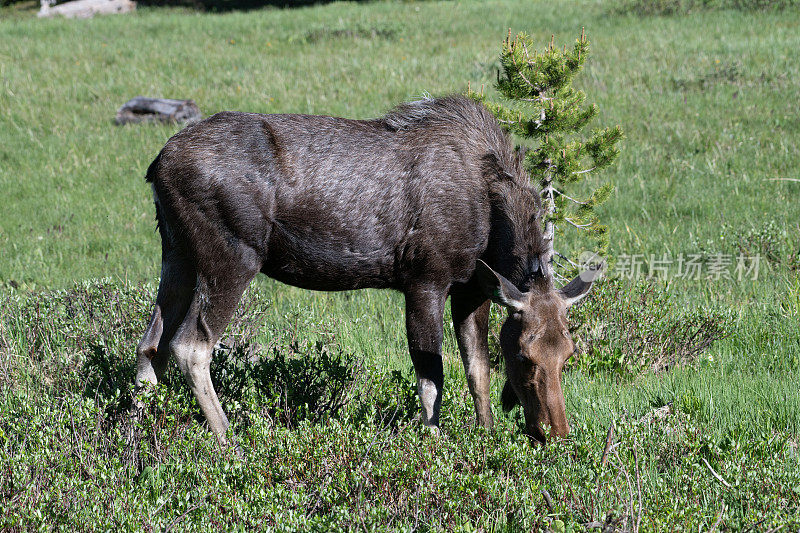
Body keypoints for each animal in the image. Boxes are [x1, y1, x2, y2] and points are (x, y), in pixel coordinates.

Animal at [136, 95, 600, 444]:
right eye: (524, 355)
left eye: (569, 354)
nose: (556, 434)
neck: (493, 225)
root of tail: (157, 164)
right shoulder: (425, 280)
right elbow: (432, 381)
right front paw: (435, 446)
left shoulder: (472, 289)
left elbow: (478, 370)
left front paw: (486, 438)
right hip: (232, 256)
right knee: (190, 345)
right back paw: (228, 438)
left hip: (176, 253)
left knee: (149, 345)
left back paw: (138, 430)